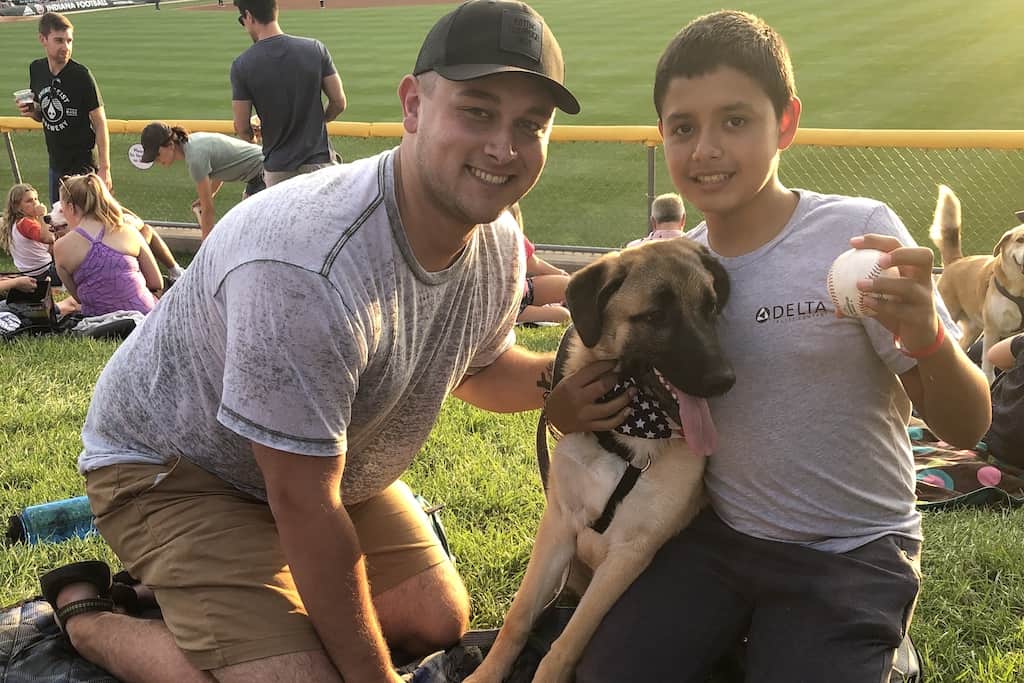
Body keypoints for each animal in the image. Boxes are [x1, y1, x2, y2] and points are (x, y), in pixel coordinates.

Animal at [464, 237, 737, 679]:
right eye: (656, 315)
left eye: (710, 308)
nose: (724, 381)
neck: (631, 438)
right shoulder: (559, 524)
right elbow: (518, 617)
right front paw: (485, 674)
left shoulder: (629, 554)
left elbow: (567, 643)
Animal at [933, 184, 1024, 382]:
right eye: (1020, 240)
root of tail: (956, 261)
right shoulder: (992, 330)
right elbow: (988, 363)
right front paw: (989, 380)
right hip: (951, 315)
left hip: (973, 329)